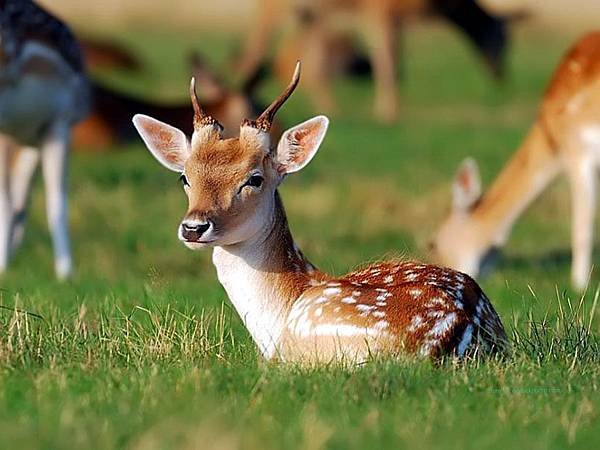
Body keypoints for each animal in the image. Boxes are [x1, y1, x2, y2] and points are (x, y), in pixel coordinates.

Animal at [239, 0, 510, 122]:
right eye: (502, 40)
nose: (501, 76)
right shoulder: (380, 11)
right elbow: (387, 62)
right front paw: (388, 112)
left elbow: (396, 65)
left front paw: (391, 108)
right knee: (255, 49)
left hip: (309, 15)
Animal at [428, 30, 600, 292]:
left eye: (433, 243)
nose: (441, 272)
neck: (552, 139)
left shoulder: (577, 150)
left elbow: (582, 223)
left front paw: (579, 285)